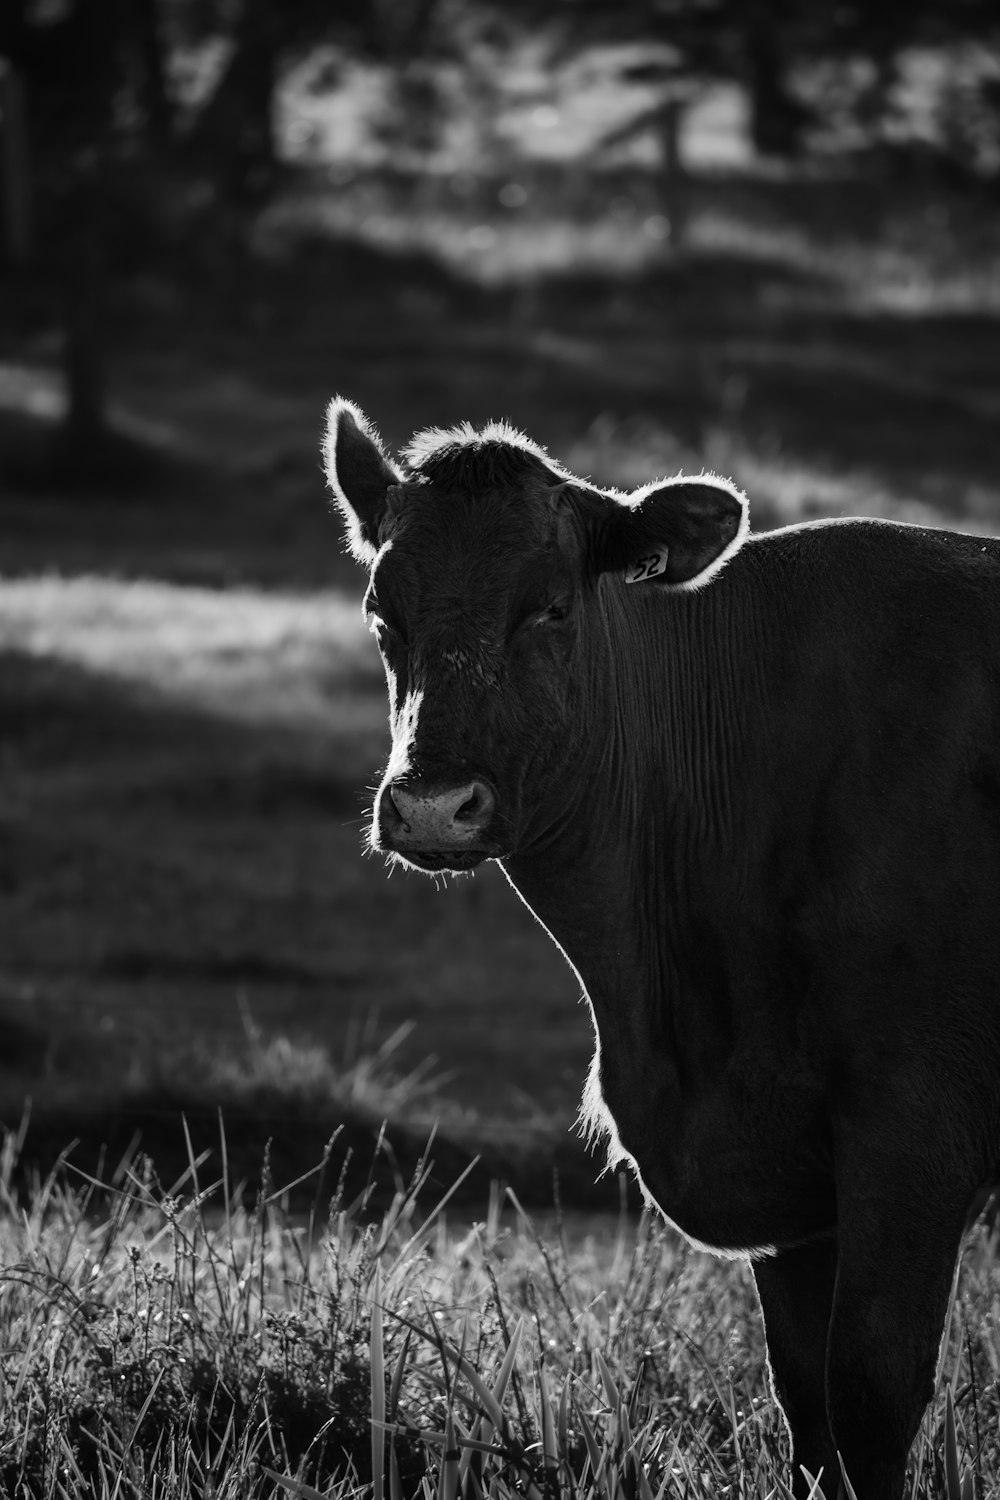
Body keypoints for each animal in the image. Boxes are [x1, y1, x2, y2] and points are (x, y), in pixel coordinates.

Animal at [326, 399, 1000, 1500]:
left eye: (552, 609)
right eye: (382, 613)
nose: (431, 804)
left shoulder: (916, 1128)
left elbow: (870, 1391)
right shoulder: (788, 1183)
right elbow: (806, 1407)